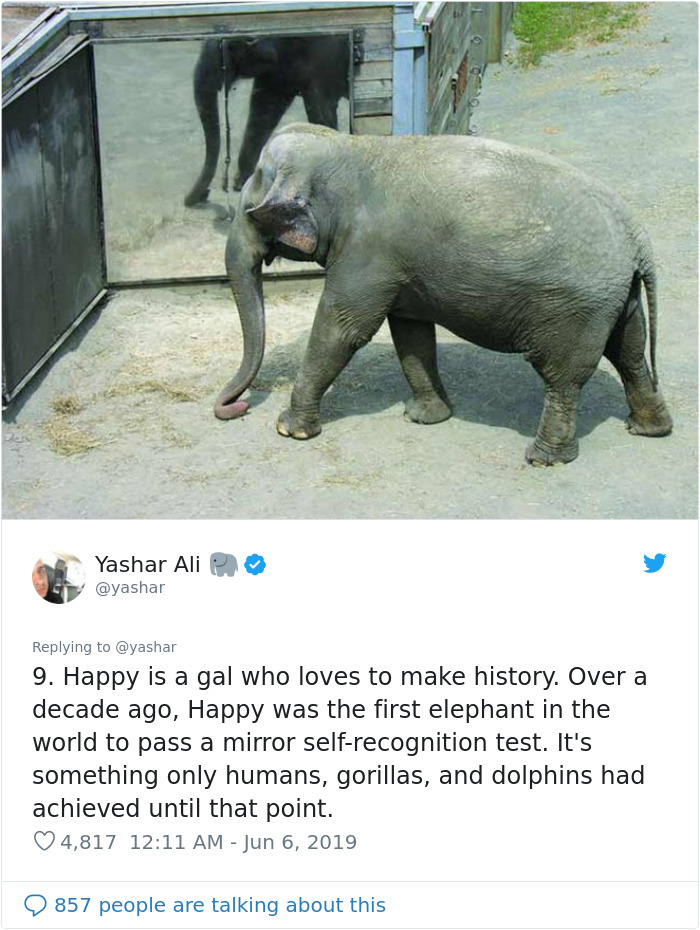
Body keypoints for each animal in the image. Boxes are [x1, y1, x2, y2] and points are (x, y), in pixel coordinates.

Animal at [184, 35, 350, 207]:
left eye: (228, 48)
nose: (206, 195)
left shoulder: (324, 58)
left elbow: (321, 110)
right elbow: (264, 107)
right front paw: (243, 183)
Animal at [213, 124, 673, 465]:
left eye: (251, 206)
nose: (234, 407)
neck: (353, 147)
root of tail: (638, 240)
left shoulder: (368, 253)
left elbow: (344, 329)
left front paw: (289, 429)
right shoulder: (399, 265)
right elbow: (411, 332)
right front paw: (426, 418)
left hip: (576, 308)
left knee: (564, 376)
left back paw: (544, 458)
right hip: (617, 299)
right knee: (629, 354)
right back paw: (651, 429)